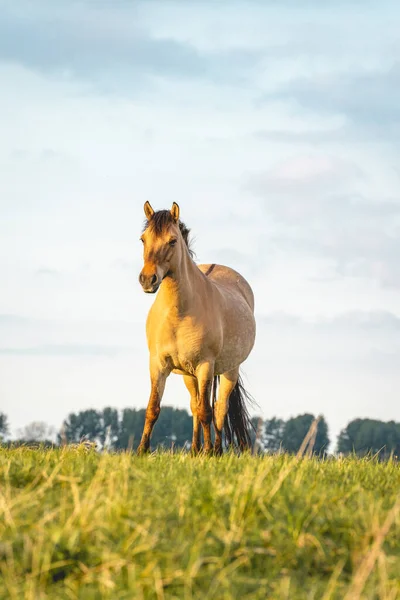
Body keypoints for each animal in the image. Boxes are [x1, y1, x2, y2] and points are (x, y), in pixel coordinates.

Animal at [138, 202, 256, 454]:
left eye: (172, 241)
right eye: (143, 239)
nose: (147, 280)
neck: (178, 313)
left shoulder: (205, 366)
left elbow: (206, 412)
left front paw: (210, 452)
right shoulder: (158, 365)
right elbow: (153, 408)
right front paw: (141, 451)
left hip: (229, 371)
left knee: (219, 408)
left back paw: (216, 450)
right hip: (188, 374)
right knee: (195, 404)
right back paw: (194, 450)